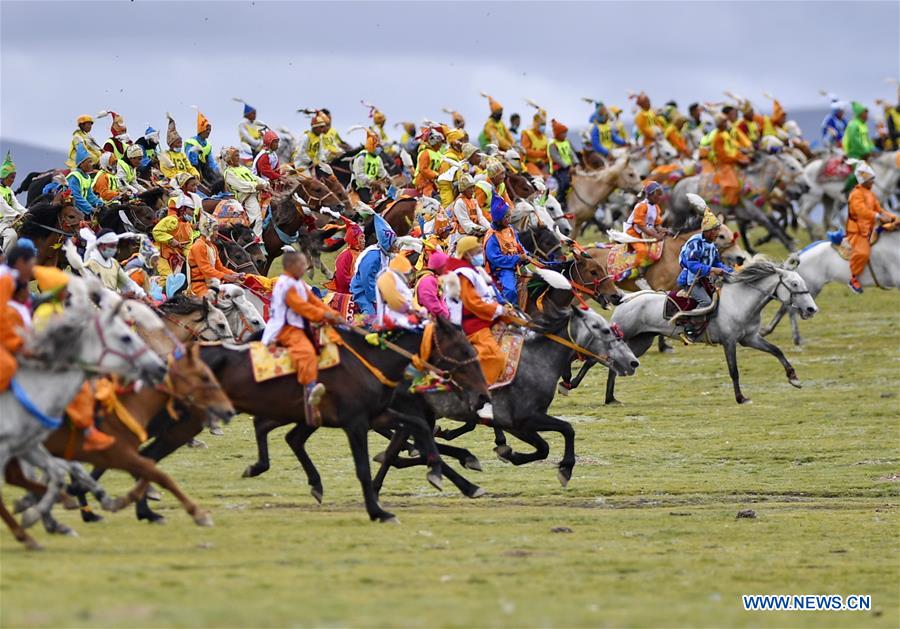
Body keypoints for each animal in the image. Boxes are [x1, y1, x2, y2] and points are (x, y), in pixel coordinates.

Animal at [604, 258, 816, 404]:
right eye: (794, 284)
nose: (812, 309)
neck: (740, 300)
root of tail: (625, 299)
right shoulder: (729, 341)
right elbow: (734, 371)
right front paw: (741, 398)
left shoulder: (750, 339)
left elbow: (776, 351)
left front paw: (794, 379)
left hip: (641, 342)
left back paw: (611, 398)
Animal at [760, 228, 900, 344]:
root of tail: (802, 253)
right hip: (810, 288)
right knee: (791, 309)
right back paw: (796, 338)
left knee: (786, 308)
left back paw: (767, 331)